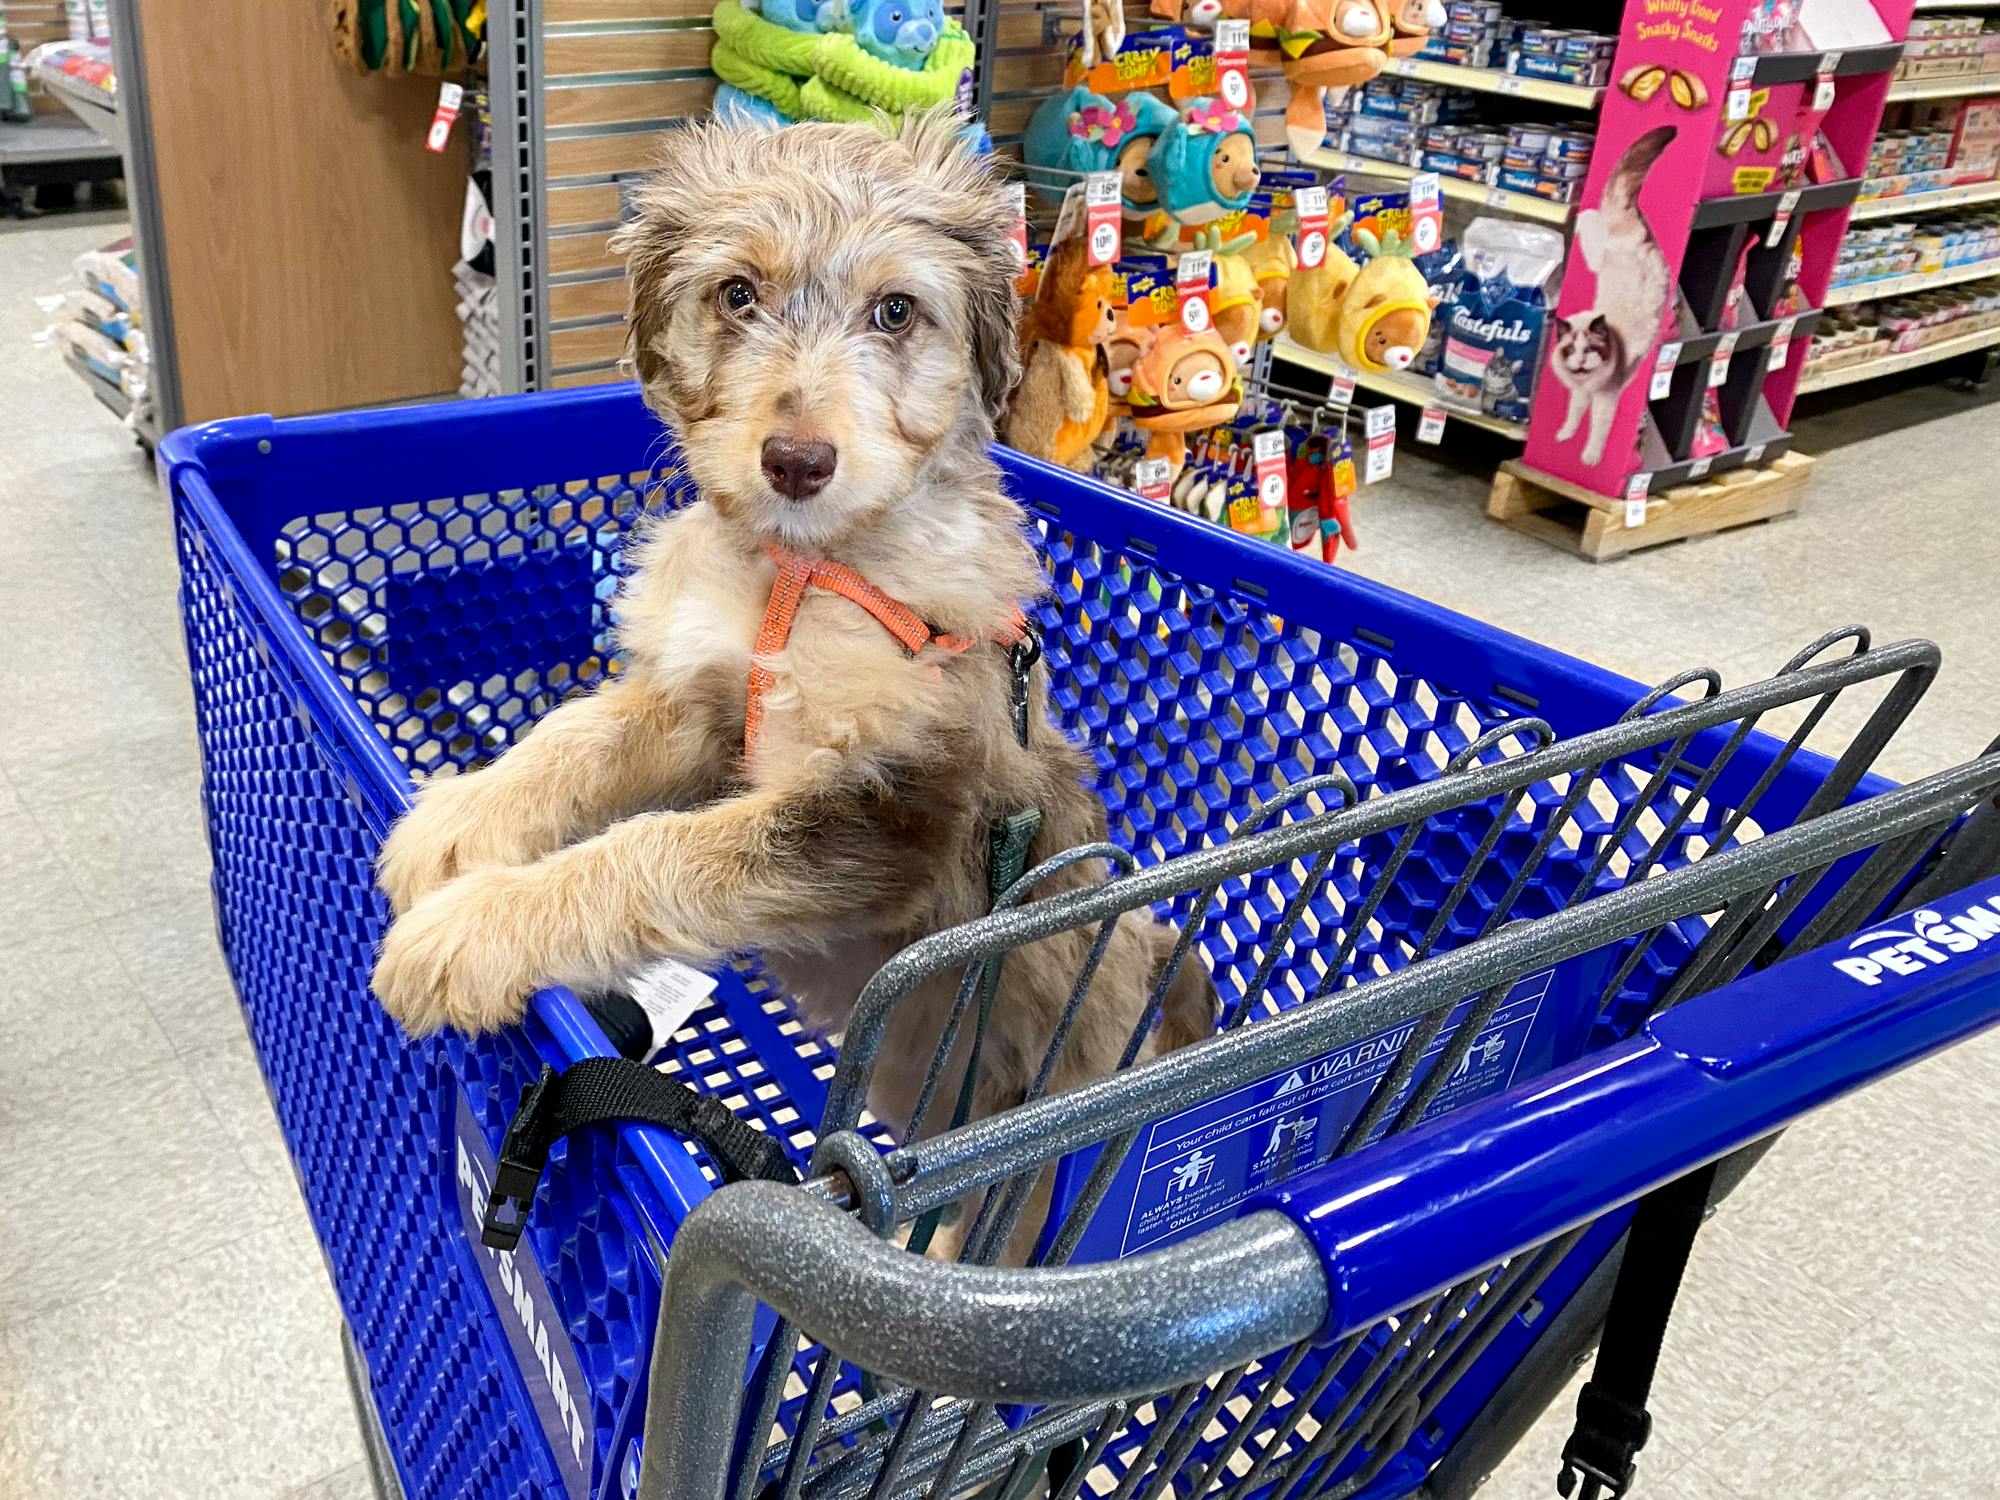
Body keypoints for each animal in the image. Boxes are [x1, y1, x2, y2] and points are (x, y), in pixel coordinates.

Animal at [376, 117, 1216, 1168]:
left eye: (896, 312)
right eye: (739, 293)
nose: (798, 462)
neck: (805, 568)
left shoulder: (883, 814)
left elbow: (659, 853)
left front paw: (473, 929)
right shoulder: (705, 704)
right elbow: (577, 737)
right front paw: (457, 821)